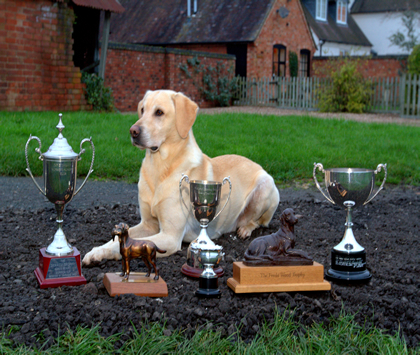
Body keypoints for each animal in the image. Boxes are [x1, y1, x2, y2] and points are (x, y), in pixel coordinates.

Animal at [82, 90, 278, 266]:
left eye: (159, 112)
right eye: (142, 110)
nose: (133, 131)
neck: (159, 167)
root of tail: (258, 165)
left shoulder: (170, 236)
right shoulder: (148, 225)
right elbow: (115, 241)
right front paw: (96, 252)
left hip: (265, 186)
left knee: (260, 222)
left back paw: (245, 229)